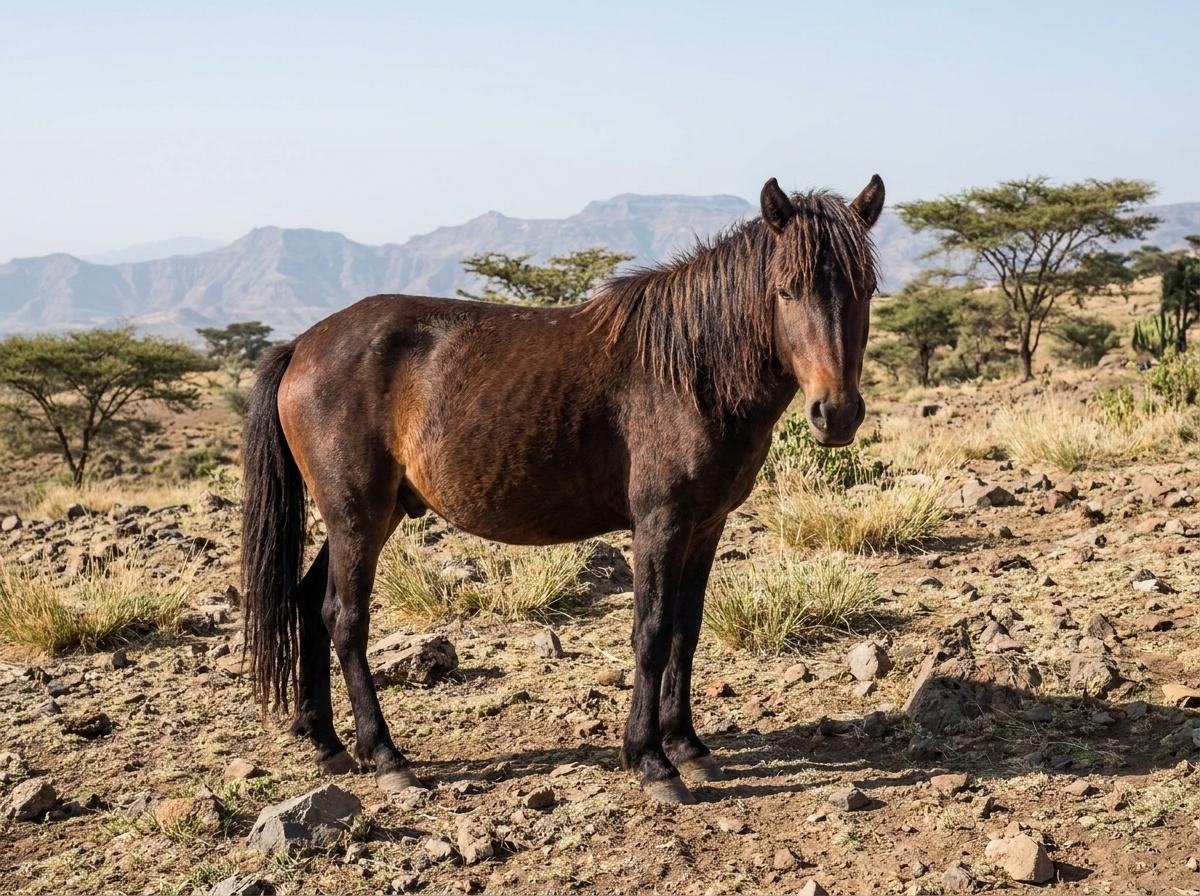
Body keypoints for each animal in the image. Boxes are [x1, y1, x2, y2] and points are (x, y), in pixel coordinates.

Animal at [240, 175, 884, 805]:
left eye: (867, 290)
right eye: (786, 291)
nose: (836, 413)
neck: (691, 371)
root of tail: (302, 345)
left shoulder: (707, 524)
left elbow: (686, 630)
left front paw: (689, 747)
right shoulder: (661, 522)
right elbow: (652, 632)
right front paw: (651, 761)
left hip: (366, 514)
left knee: (307, 600)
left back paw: (327, 744)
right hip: (357, 513)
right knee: (344, 617)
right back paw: (386, 758)